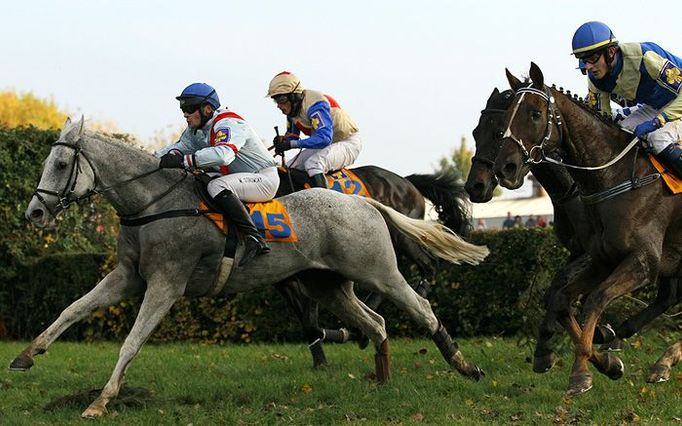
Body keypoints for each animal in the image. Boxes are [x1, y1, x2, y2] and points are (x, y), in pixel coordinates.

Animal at [10, 118, 488, 418]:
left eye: (60, 164)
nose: (35, 212)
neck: (153, 204)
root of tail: (365, 202)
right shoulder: (129, 276)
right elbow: (71, 309)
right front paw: (27, 354)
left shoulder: (166, 283)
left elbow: (131, 342)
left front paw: (100, 401)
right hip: (328, 285)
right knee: (375, 323)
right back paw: (381, 379)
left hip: (380, 272)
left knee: (420, 308)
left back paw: (465, 367)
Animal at [492, 61, 680, 394]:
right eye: (506, 115)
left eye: (535, 113)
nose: (505, 168)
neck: (616, 176)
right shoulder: (601, 260)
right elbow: (562, 300)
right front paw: (607, 362)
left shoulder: (642, 261)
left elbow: (594, 299)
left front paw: (580, 372)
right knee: (667, 297)